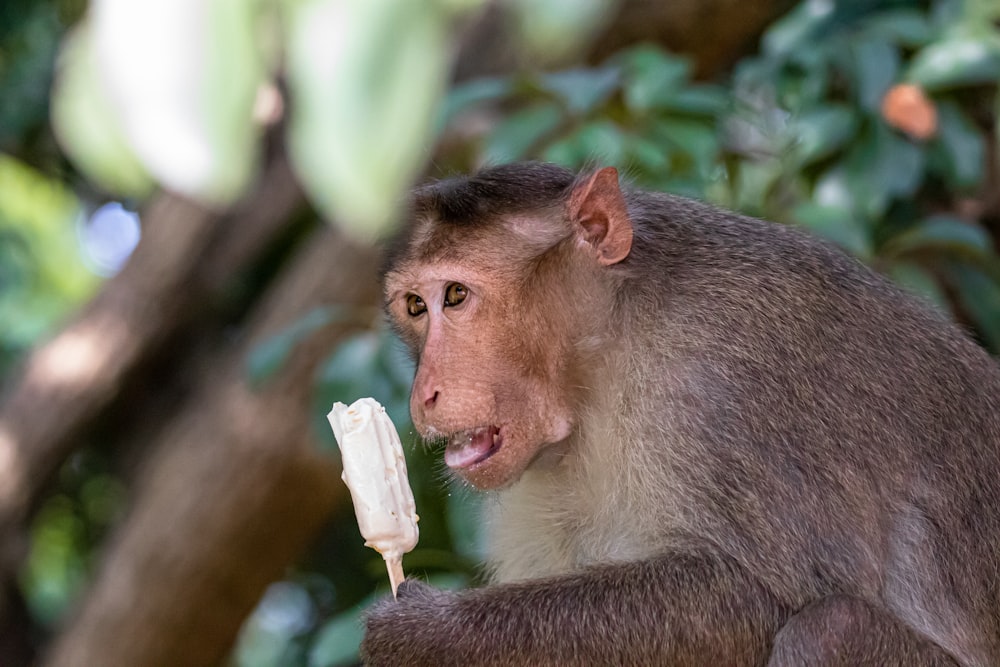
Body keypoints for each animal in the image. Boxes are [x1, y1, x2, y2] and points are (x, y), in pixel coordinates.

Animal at [366, 163, 1000, 667]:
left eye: (455, 296)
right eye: (416, 306)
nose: (423, 393)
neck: (606, 354)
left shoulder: (724, 386)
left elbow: (764, 594)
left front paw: (423, 635)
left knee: (829, 629)